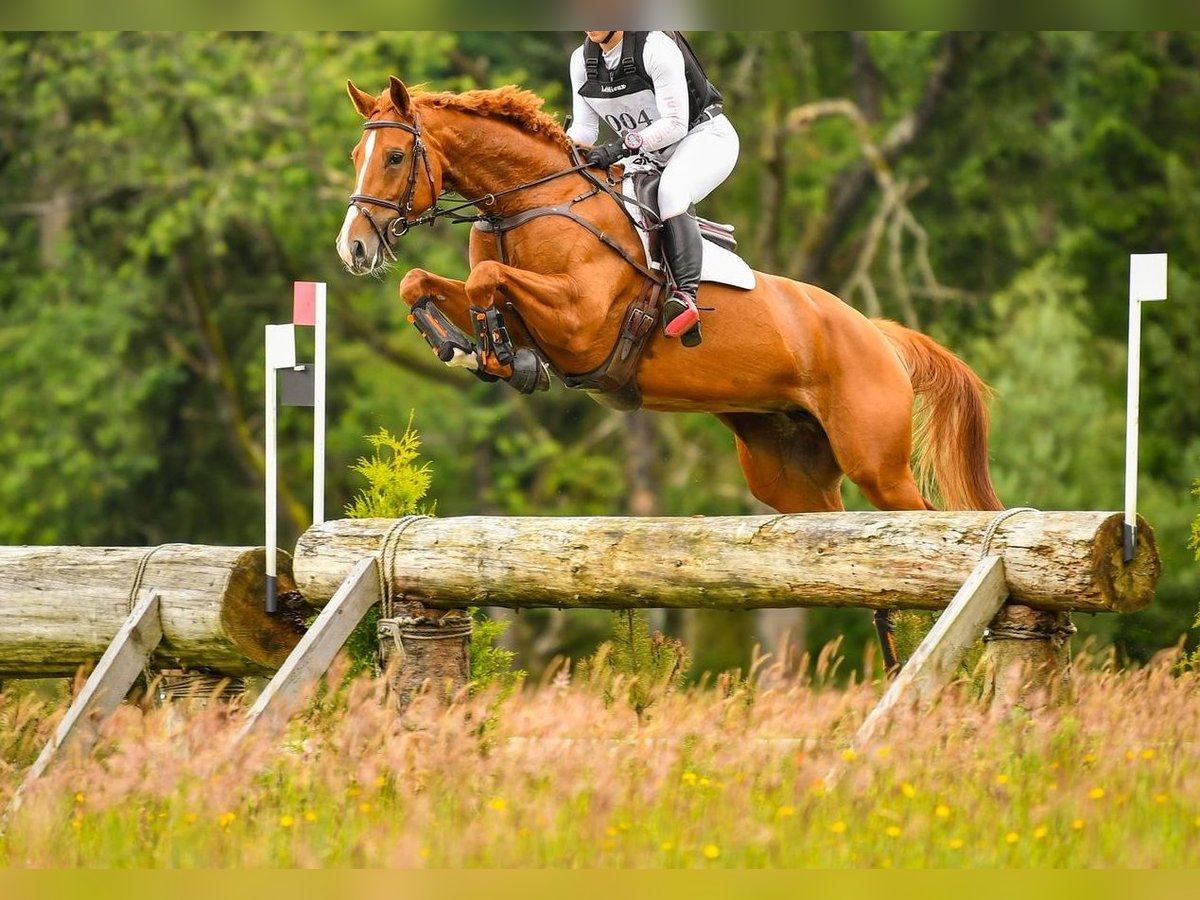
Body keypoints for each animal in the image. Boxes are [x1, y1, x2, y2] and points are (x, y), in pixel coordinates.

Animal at [336, 76, 1005, 672]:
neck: (528, 205)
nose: (354, 249)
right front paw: (466, 347)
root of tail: (878, 333)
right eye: (355, 157)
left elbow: (484, 281)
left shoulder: (580, 322)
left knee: (926, 528)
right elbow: (423, 282)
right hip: (789, 478)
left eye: (395, 156)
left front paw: (495, 353)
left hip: (876, 464)